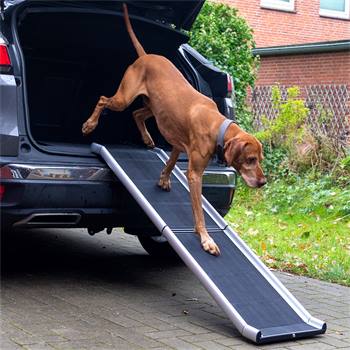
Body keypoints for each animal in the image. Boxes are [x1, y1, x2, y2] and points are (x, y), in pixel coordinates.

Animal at [81, 4, 266, 256]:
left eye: (259, 159)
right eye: (250, 159)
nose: (263, 182)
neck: (217, 126)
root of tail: (145, 55)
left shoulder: (179, 143)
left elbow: (170, 162)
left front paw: (164, 179)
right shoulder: (195, 174)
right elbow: (199, 212)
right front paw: (206, 239)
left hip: (154, 107)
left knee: (137, 114)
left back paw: (148, 139)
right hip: (124, 97)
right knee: (103, 100)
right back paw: (89, 125)